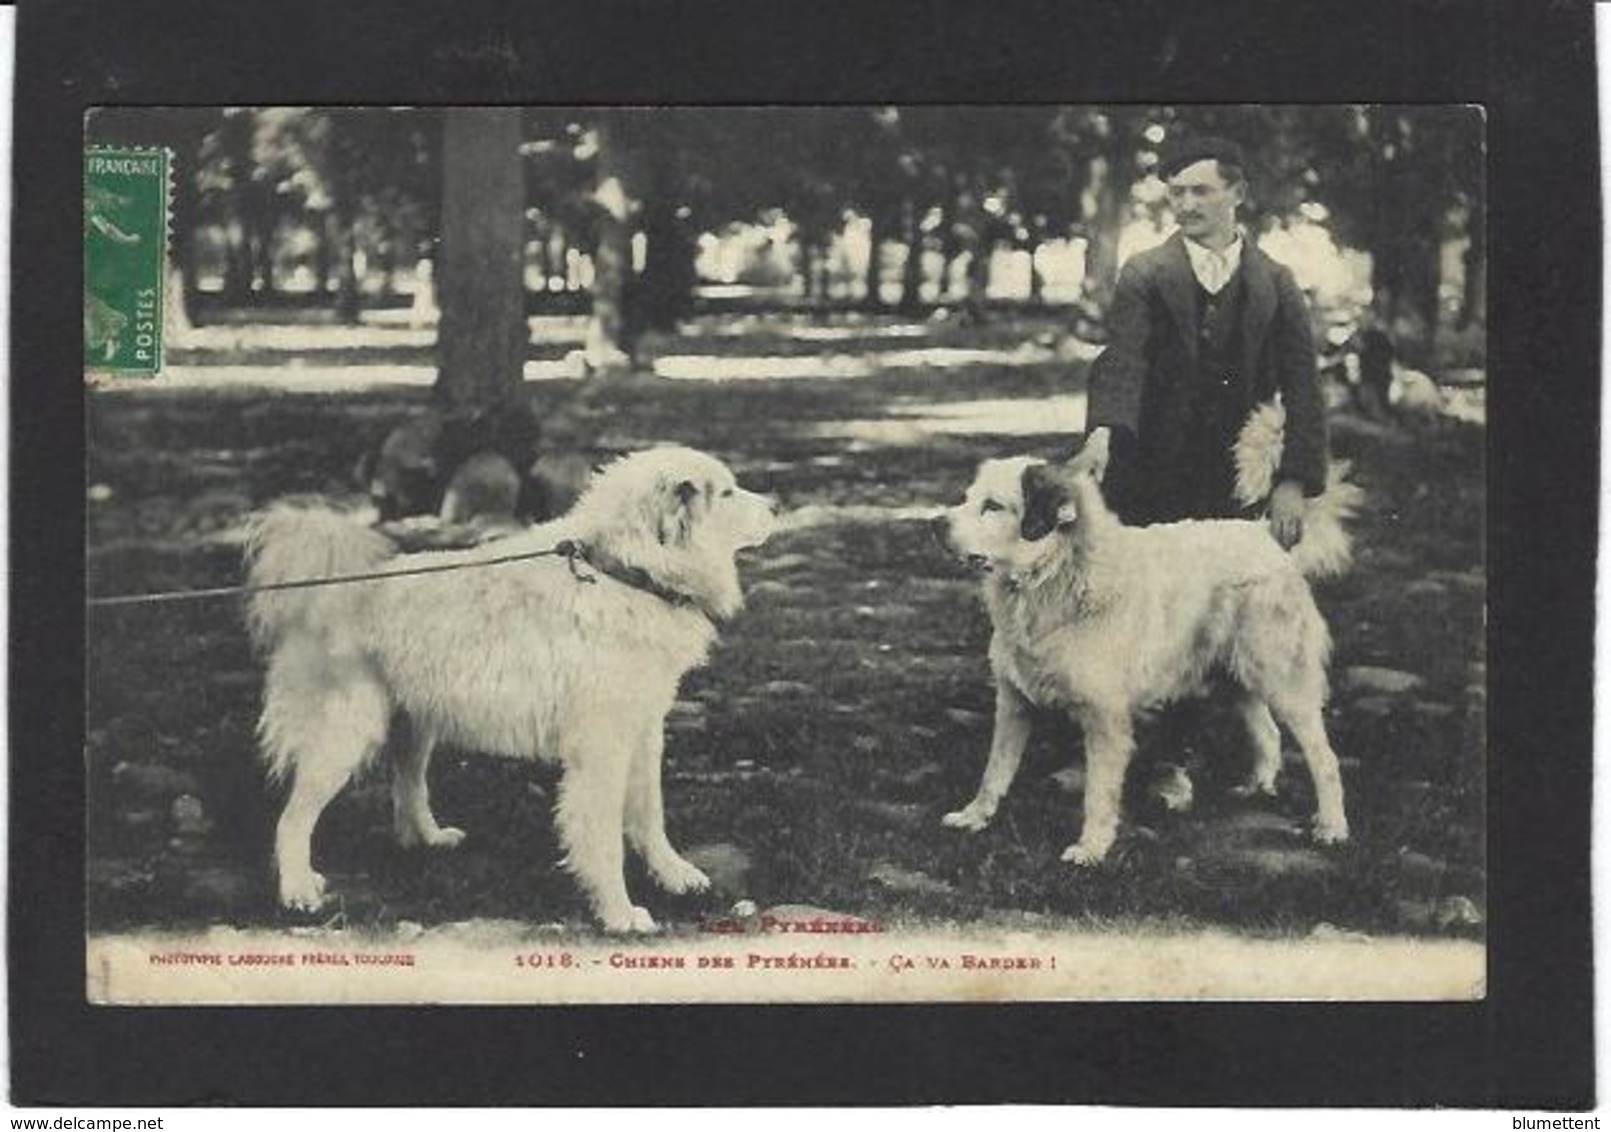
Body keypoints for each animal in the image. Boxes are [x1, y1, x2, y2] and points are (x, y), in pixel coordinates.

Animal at [248, 447, 776, 933]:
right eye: (727, 493)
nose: (776, 508)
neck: (622, 573)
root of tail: (321, 591)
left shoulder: (644, 731)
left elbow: (650, 815)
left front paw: (674, 875)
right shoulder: (601, 749)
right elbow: (604, 837)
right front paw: (619, 913)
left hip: (415, 724)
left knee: (408, 785)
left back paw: (428, 839)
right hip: (343, 735)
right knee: (292, 818)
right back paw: (298, 891)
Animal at [940, 407, 1366, 869]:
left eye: (993, 506)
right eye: (969, 498)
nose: (935, 525)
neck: (1056, 574)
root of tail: (1266, 535)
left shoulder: (1105, 718)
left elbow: (1098, 793)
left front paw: (1091, 847)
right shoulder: (1014, 702)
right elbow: (993, 772)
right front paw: (974, 816)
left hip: (1283, 680)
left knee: (1325, 759)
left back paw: (1332, 826)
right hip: (1233, 676)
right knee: (1268, 733)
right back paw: (1257, 787)